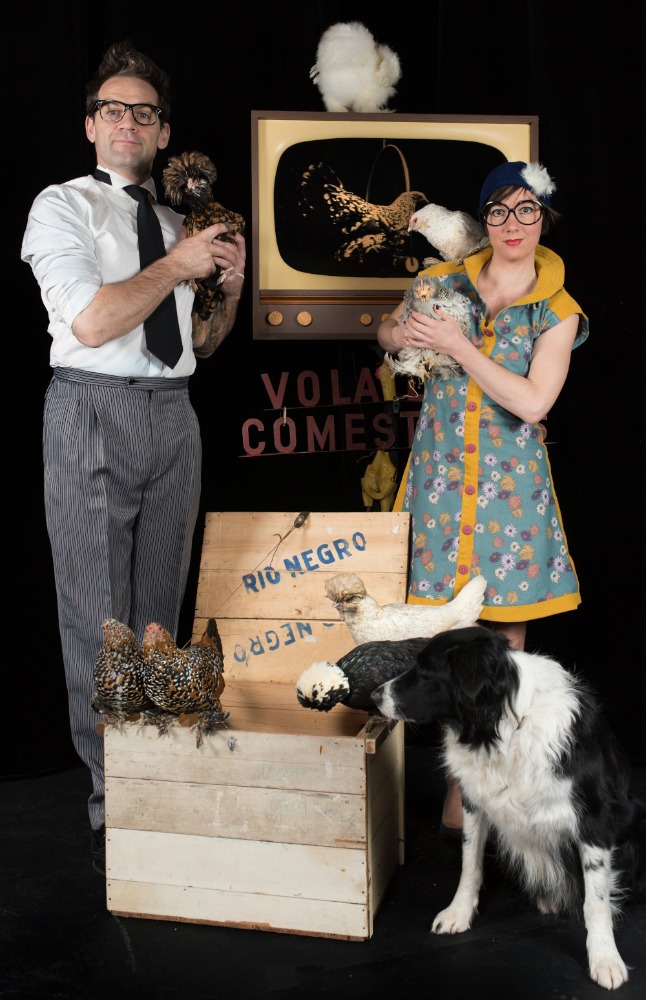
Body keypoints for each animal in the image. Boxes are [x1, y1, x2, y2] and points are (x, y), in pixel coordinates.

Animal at [370, 626, 646, 991]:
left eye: (426, 671)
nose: (374, 696)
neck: (501, 729)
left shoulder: (595, 817)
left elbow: (595, 901)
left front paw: (605, 958)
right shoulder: (474, 802)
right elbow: (470, 866)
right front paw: (458, 913)